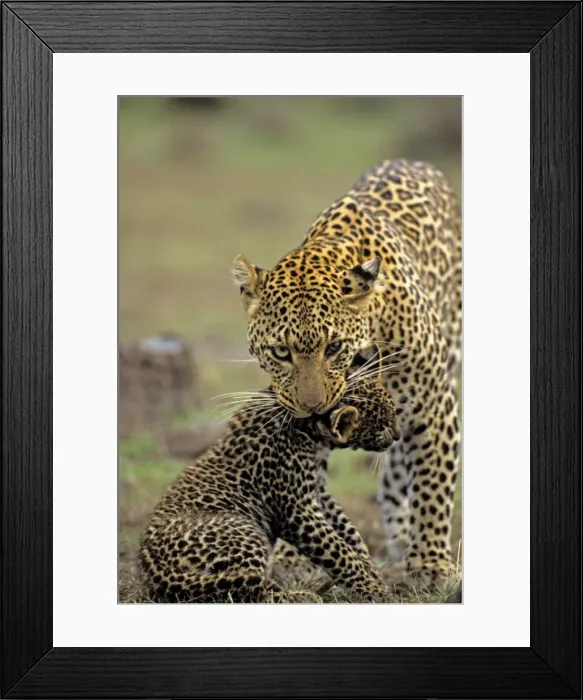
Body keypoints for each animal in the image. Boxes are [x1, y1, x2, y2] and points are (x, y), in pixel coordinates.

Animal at [139, 376, 400, 603]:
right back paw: (302, 596)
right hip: (244, 530)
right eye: (384, 424)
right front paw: (377, 592)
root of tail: (154, 574)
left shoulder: (318, 494)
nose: (397, 436)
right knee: (246, 589)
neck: (311, 433)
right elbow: (340, 552)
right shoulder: (296, 509)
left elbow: (351, 536)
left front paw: (376, 578)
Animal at [232, 158, 461, 586]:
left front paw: (431, 565)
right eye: (281, 352)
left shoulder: (435, 404)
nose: (313, 407)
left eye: (334, 348)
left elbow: (434, 486)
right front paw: (296, 560)